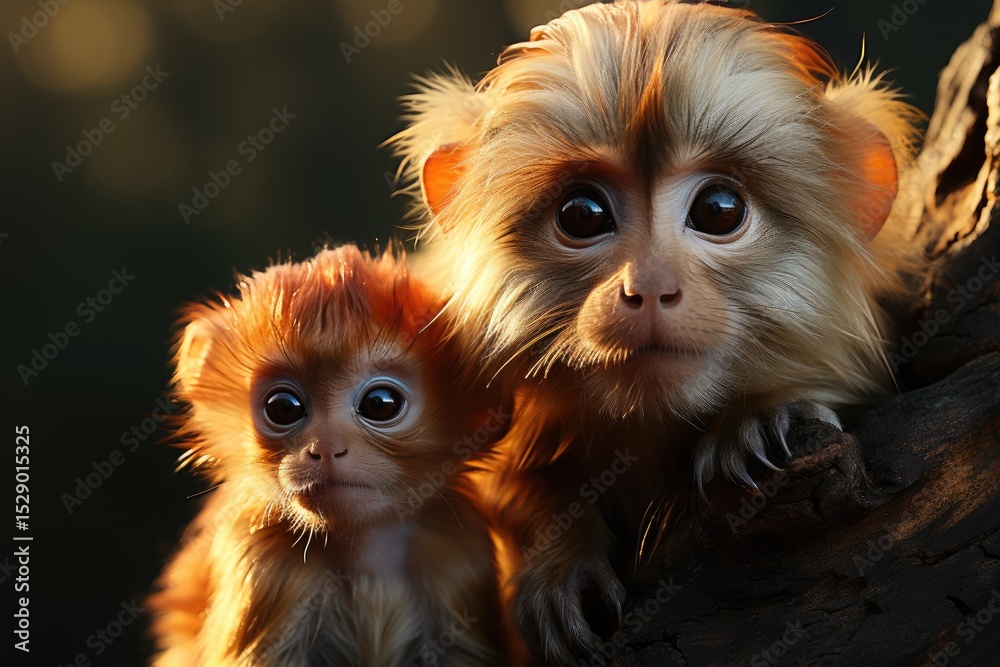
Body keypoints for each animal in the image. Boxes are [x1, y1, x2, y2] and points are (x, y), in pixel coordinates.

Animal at [148, 246, 512, 667]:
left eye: (380, 404)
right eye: (283, 407)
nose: (326, 448)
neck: (364, 555)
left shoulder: (456, 556)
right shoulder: (263, 566)